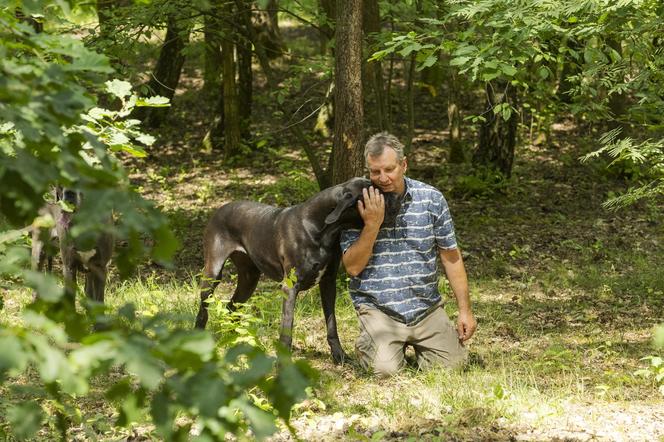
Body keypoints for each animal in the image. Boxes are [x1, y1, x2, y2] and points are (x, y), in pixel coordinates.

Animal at [192, 178, 400, 364]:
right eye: (378, 193)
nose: (399, 195)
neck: (320, 228)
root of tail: (220, 208)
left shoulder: (328, 282)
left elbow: (332, 324)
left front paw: (339, 355)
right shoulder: (290, 287)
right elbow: (287, 330)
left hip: (249, 278)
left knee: (231, 306)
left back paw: (235, 339)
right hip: (213, 272)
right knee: (204, 310)